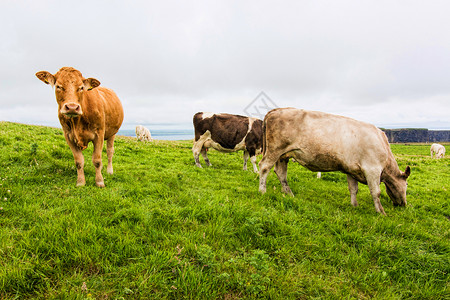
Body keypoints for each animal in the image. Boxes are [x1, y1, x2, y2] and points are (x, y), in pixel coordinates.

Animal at [258, 108, 410, 216]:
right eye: (406, 185)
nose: (403, 204)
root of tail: (276, 110)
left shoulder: (351, 170)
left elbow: (353, 189)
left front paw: (354, 206)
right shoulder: (372, 169)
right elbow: (375, 192)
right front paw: (381, 212)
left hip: (283, 155)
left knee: (281, 173)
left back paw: (289, 194)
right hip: (274, 150)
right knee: (264, 167)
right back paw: (262, 191)